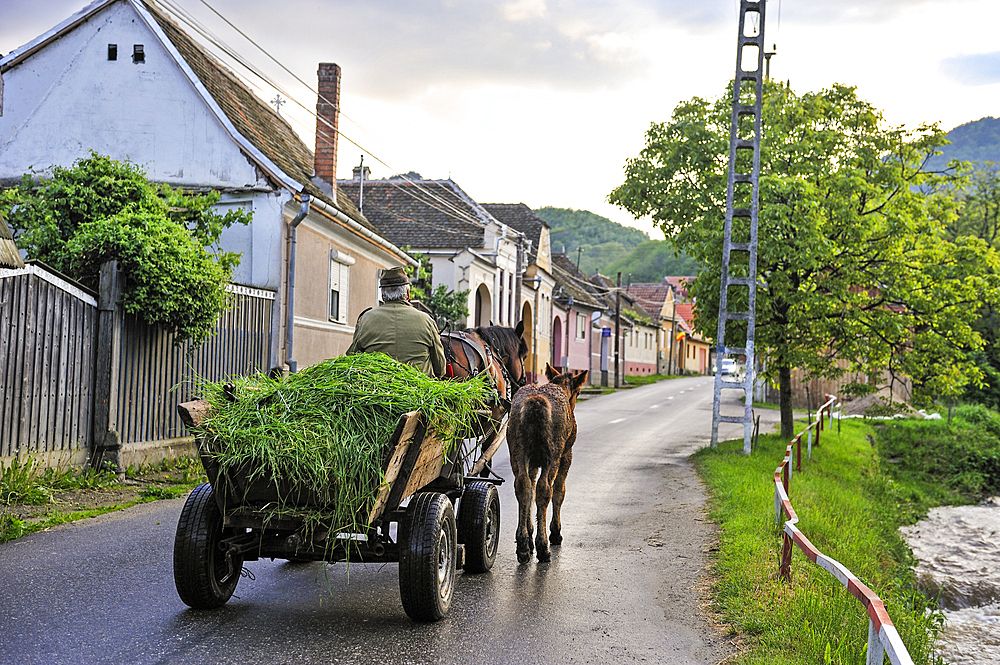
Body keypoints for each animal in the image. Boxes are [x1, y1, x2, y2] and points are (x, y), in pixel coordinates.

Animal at [508, 364, 584, 560]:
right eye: (579, 391)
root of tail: (535, 403)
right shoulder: (566, 455)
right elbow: (559, 492)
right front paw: (555, 532)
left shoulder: (533, 462)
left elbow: (530, 490)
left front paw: (529, 534)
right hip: (553, 454)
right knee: (544, 489)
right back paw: (543, 546)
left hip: (517, 451)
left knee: (523, 486)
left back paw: (523, 545)